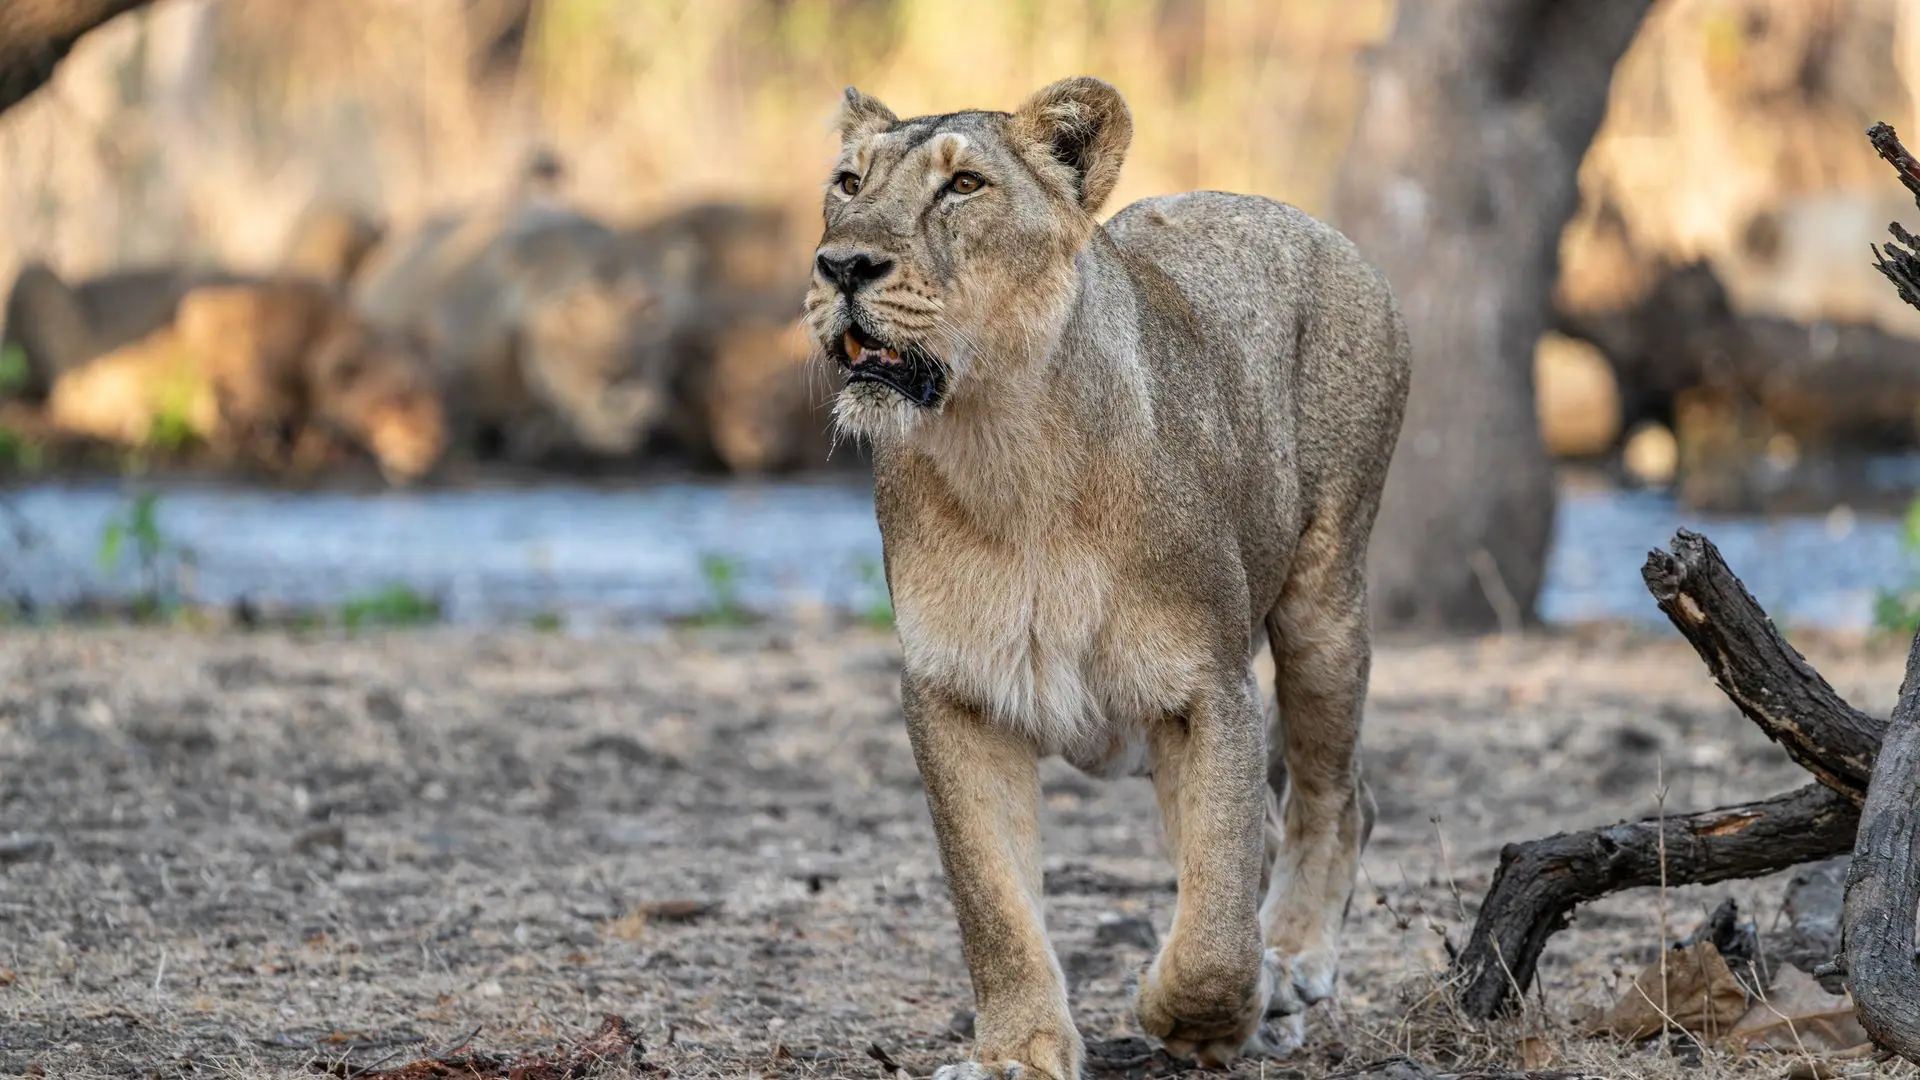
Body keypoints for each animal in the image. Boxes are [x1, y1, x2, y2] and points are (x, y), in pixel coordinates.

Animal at [803, 78, 1410, 1077]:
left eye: (964, 185)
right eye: (848, 182)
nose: (842, 265)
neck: (1008, 455)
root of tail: (1302, 218)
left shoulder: (1208, 688)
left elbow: (1213, 931)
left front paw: (1195, 1014)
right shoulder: (952, 693)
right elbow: (994, 905)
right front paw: (1018, 1053)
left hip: (1325, 596)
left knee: (1334, 796)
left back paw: (1290, 963)